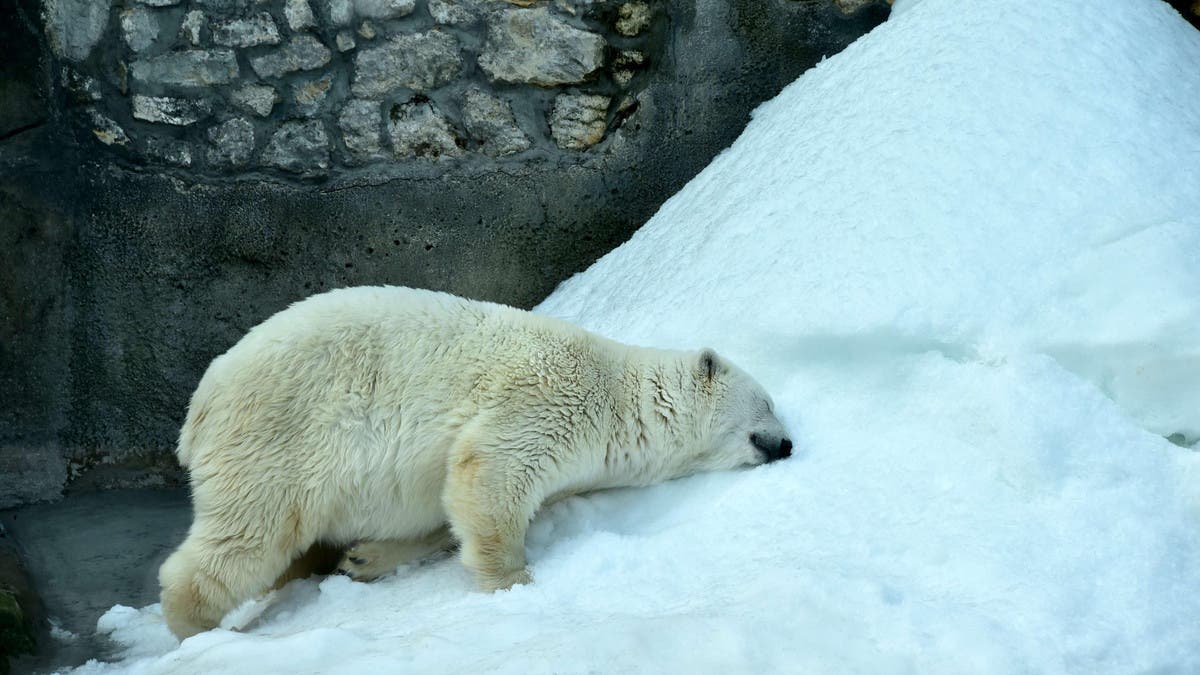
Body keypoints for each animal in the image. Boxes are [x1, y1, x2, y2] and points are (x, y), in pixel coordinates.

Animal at [162, 282, 796, 634]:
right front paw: (515, 583)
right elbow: (490, 472)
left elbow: (446, 506)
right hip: (278, 438)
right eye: (768, 403)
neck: (619, 398)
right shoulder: (546, 400)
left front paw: (369, 557)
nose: (788, 443)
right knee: (248, 534)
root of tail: (202, 403)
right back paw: (198, 625)